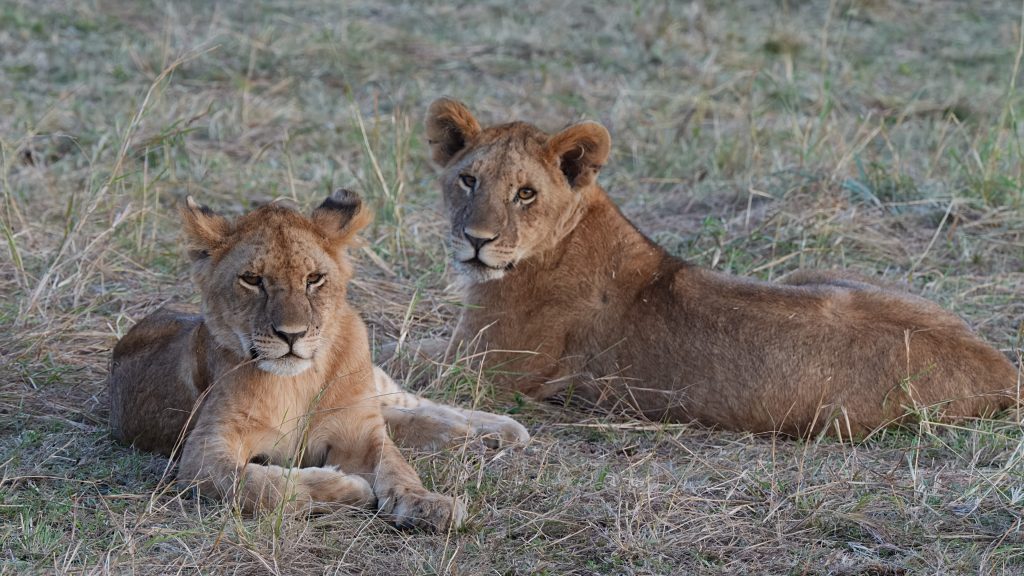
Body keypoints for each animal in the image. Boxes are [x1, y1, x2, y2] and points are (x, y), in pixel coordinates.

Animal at [107, 189, 528, 530]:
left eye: (314, 279)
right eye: (252, 279)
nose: (291, 335)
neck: (297, 381)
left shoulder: (360, 433)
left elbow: (396, 466)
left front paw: (427, 503)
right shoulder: (203, 453)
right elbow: (259, 486)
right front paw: (350, 488)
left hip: (372, 383)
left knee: (410, 403)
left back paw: (499, 430)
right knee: (398, 417)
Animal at [420, 98, 1019, 436]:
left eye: (525, 193)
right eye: (468, 180)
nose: (476, 241)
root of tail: (1004, 369)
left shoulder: (479, 371)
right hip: (813, 272)